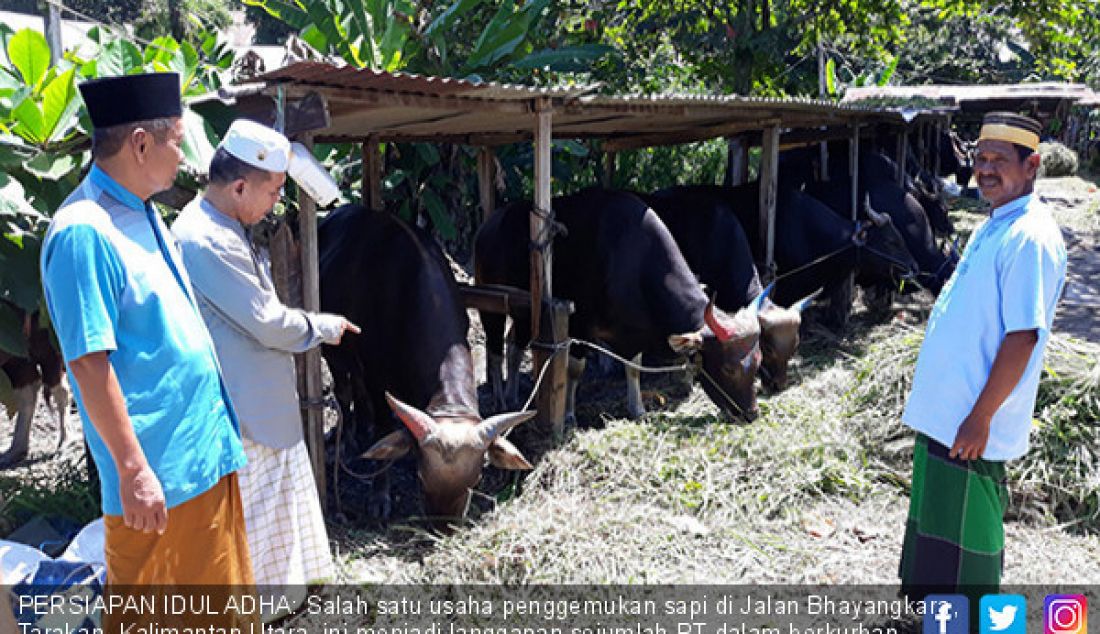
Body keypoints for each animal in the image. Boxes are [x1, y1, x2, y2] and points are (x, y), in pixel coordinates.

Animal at [316, 205, 534, 521]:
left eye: (477, 478)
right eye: (420, 476)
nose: (442, 524)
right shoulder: (377, 378)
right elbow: (384, 429)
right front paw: (379, 495)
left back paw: (362, 425)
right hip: (332, 349)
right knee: (343, 391)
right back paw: (347, 440)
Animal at [473, 190, 765, 422]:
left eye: (758, 360)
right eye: (729, 368)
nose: (750, 413)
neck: (632, 264)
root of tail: (488, 228)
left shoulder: (634, 332)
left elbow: (633, 368)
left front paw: (637, 409)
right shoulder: (578, 328)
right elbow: (574, 370)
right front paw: (568, 415)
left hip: (523, 311)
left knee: (514, 345)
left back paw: (512, 396)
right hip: (490, 307)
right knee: (495, 350)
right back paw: (500, 400)